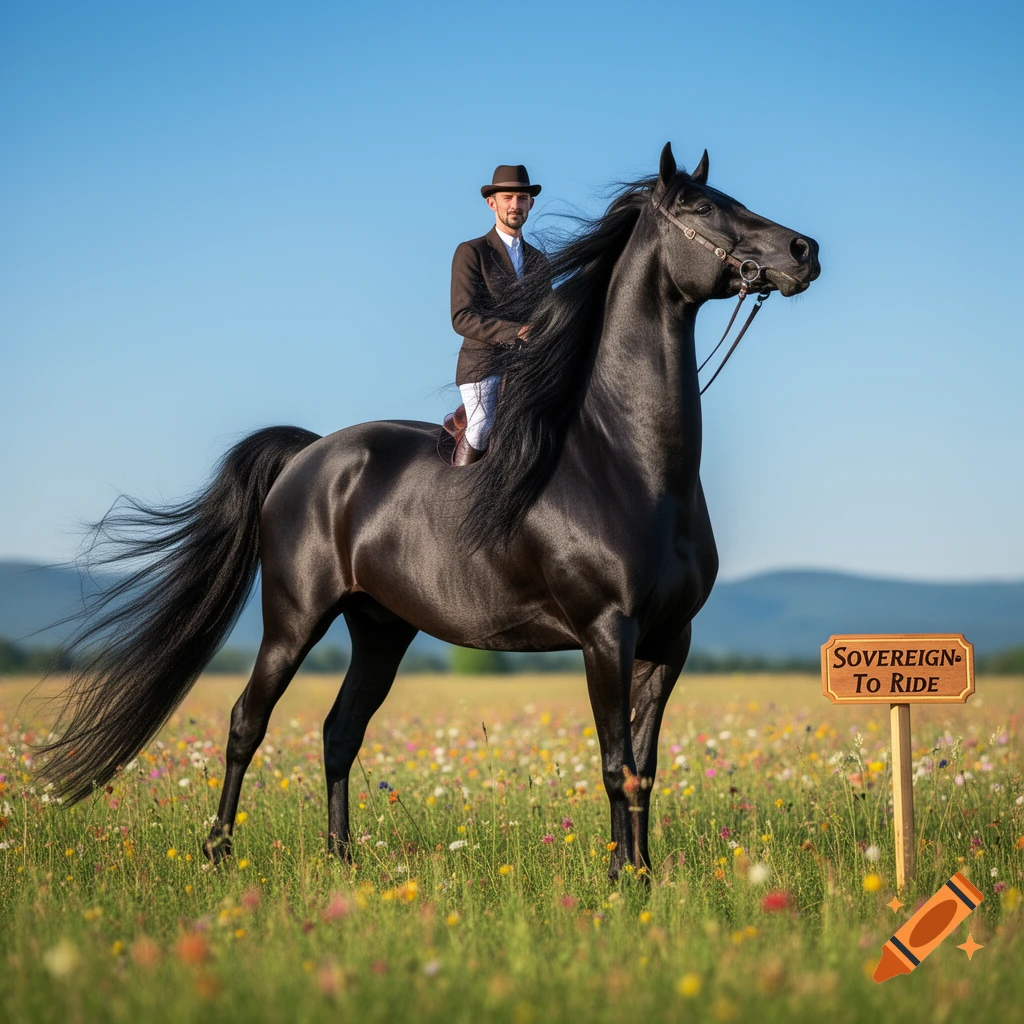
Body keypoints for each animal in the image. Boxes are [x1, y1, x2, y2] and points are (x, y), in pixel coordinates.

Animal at [38, 143, 819, 879]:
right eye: (701, 206)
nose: (802, 251)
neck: (632, 462)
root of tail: (309, 455)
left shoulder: (669, 640)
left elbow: (644, 772)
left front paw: (640, 876)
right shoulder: (607, 633)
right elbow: (614, 765)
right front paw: (624, 883)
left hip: (381, 628)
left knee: (339, 731)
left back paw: (341, 858)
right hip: (293, 619)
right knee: (246, 723)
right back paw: (218, 853)